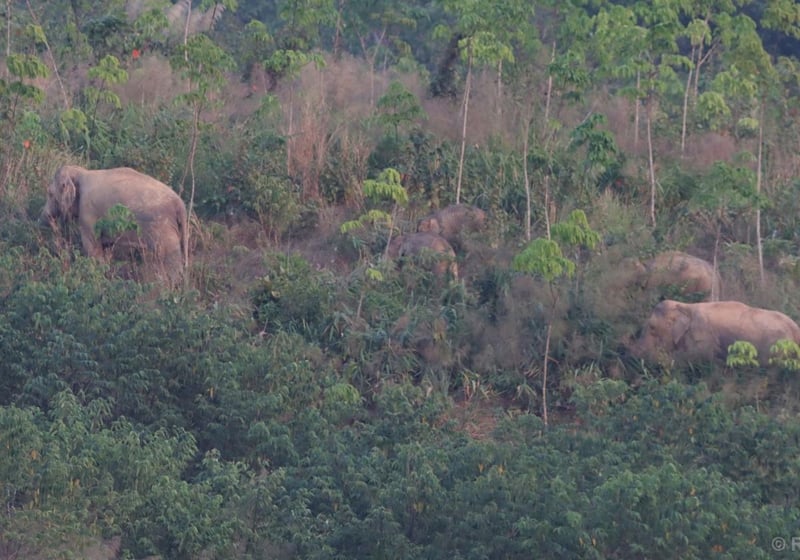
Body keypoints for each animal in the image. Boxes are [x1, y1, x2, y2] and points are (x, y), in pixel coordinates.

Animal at [40, 165, 188, 286]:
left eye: (50, 193)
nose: (43, 219)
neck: (81, 172)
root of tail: (180, 205)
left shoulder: (88, 214)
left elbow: (92, 248)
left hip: (162, 228)